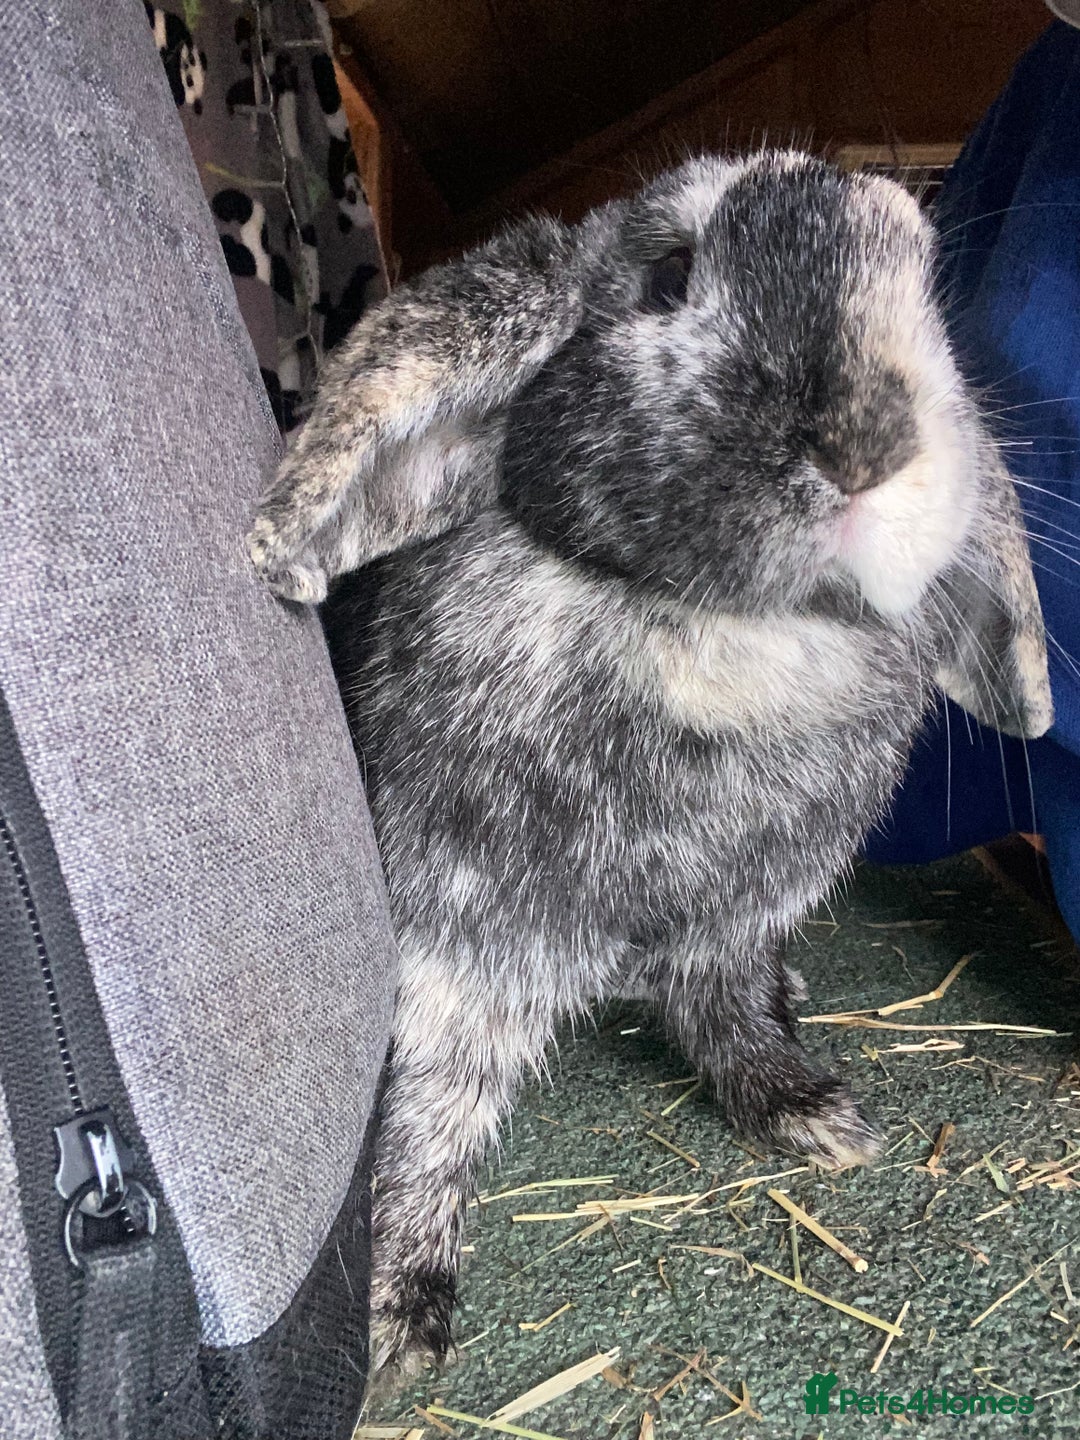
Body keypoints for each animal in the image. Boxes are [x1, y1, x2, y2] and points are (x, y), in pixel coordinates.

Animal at [247, 151, 1053, 1379]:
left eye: (925, 294)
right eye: (669, 276)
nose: (867, 448)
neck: (726, 642)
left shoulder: (738, 920)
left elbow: (730, 1011)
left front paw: (811, 1116)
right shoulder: (463, 940)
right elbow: (436, 1107)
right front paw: (400, 1318)